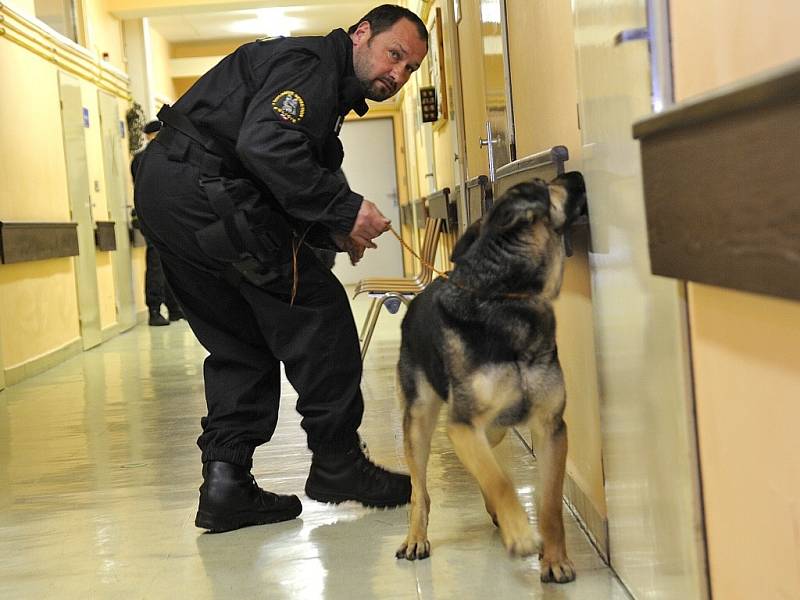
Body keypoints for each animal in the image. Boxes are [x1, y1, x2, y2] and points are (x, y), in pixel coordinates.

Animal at [396, 171, 588, 584]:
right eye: (545, 183)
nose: (576, 174)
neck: (505, 296)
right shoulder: (462, 425)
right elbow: (498, 480)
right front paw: (522, 534)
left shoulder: (551, 428)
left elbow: (549, 503)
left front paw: (555, 559)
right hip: (420, 421)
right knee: (421, 490)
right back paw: (417, 537)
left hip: (496, 428)